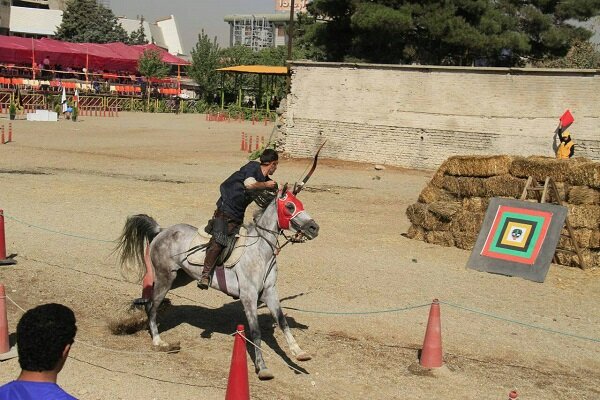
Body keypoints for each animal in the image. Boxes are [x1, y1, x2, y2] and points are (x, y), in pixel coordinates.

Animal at [118, 186, 324, 380]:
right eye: (289, 206)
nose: (314, 228)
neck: (260, 251)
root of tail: (161, 231)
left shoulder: (270, 293)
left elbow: (282, 323)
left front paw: (299, 353)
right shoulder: (248, 296)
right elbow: (256, 332)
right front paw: (262, 368)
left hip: (180, 278)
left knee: (150, 298)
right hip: (165, 277)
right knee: (152, 305)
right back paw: (157, 340)